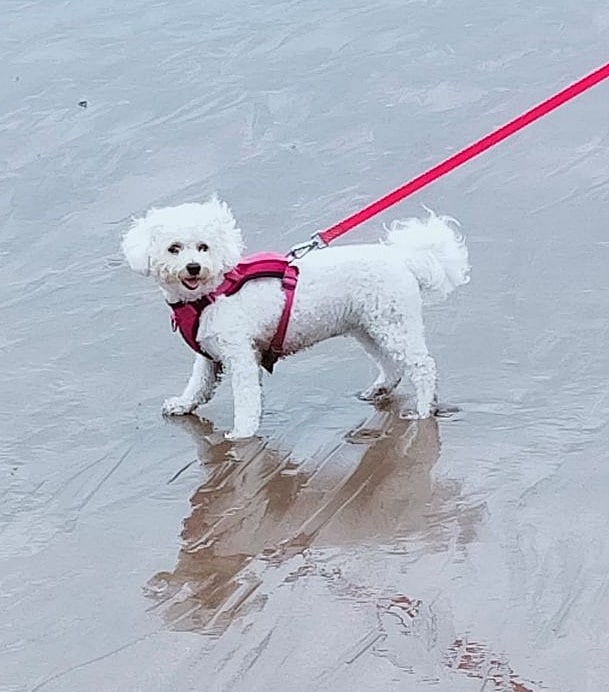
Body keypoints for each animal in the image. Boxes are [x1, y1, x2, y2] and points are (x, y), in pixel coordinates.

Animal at [121, 196, 468, 438]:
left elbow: (246, 397)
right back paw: (379, 389)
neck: (209, 295)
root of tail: (405, 258)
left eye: (203, 247)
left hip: (392, 324)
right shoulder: (209, 354)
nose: (194, 267)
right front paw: (182, 404)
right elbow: (198, 384)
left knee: (422, 367)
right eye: (174, 248)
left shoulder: (240, 355)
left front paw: (242, 435)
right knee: (392, 365)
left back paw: (422, 410)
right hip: (369, 327)